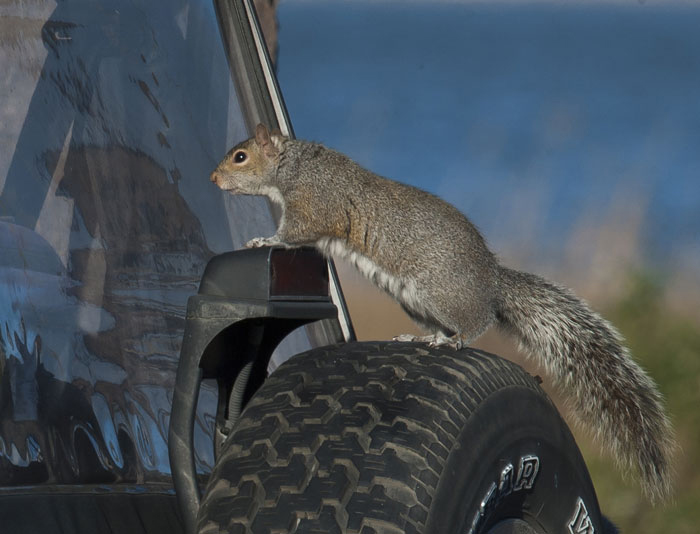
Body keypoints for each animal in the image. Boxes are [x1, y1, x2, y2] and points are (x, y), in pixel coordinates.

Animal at [211, 123, 675, 503]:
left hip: (438, 293)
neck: (293, 166)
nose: (214, 178)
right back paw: (425, 337)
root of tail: (492, 282)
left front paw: (262, 239)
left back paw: (454, 339)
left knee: (477, 322)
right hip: (416, 302)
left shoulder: (314, 205)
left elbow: (292, 234)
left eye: (240, 156)